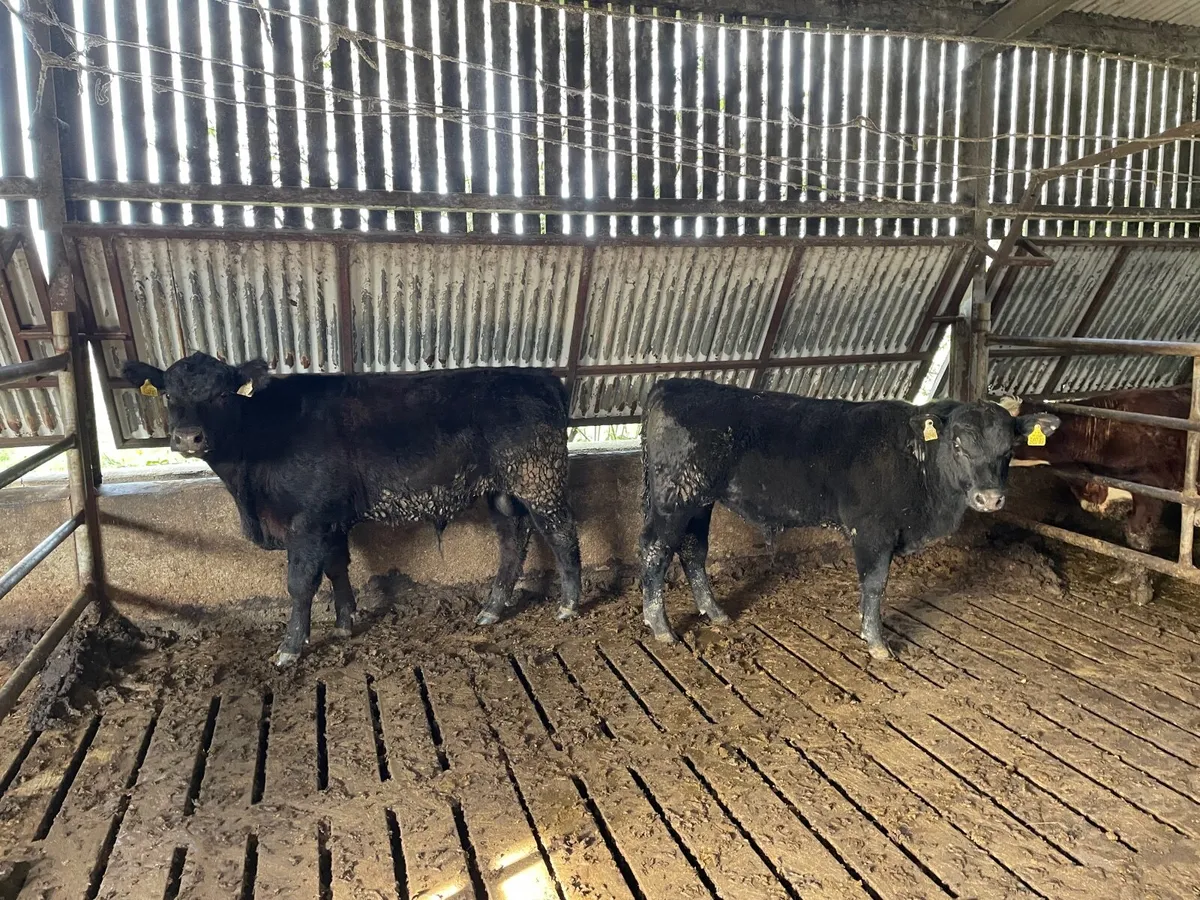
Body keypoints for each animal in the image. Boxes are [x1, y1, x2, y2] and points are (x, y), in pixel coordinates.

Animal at [122, 353, 582, 667]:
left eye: (221, 394)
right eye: (169, 394)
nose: (188, 437)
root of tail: (538, 376)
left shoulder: (306, 522)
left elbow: (300, 584)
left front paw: (290, 648)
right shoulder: (329, 520)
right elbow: (336, 568)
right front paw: (345, 623)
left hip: (539, 478)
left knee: (563, 535)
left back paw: (569, 605)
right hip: (502, 491)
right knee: (513, 542)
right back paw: (491, 610)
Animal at [640, 378, 1059, 659]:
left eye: (1009, 449)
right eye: (958, 444)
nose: (990, 498)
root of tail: (672, 385)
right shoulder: (873, 530)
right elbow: (874, 585)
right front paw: (877, 643)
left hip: (699, 501)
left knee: (693, 550)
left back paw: (715, 614)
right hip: (674, 499)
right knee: (655, 553)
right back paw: (661, 628)